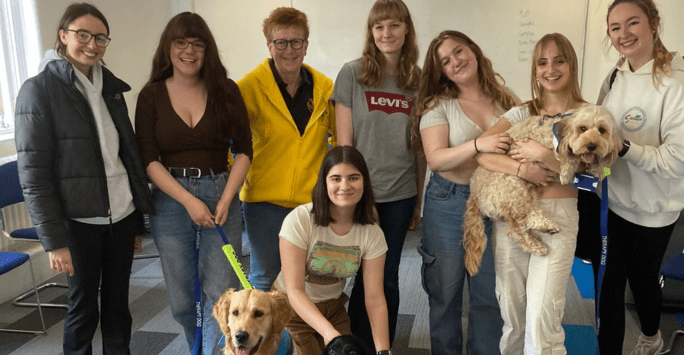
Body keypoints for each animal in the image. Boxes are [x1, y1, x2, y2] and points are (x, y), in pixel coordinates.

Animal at [462, 104, 624, 276]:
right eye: (583, 128)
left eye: (602, 130)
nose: (592, 146)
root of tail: (474, 193)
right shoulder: (551, 146)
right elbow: (569, 158)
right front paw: (568, 170)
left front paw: (597, 169)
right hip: (513, 187)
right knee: (517, 229)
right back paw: (540, 240)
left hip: (525, 191)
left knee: (523, 221)